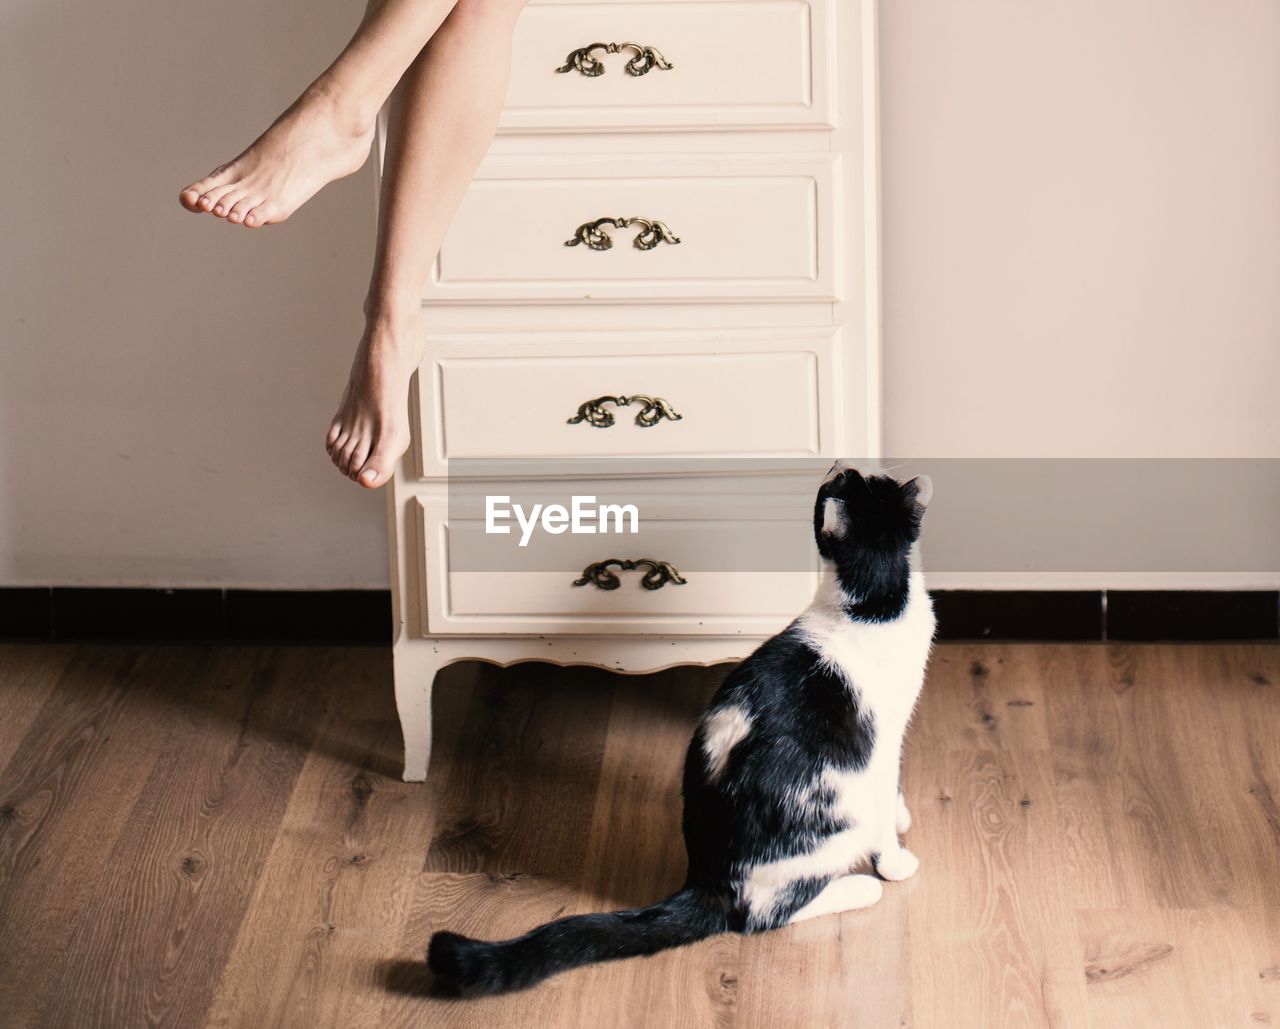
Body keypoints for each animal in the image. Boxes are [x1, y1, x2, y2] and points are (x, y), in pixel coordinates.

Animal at [424, 468, 936, 998]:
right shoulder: (884, 740)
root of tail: (708, 878)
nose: (841, 467)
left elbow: (897, 791)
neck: (871, 602)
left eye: (872, 479)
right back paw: (859, 887)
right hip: (837, 821)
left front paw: (902, 817)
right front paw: (896, 861)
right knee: (762, 915)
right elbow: (889, 799)